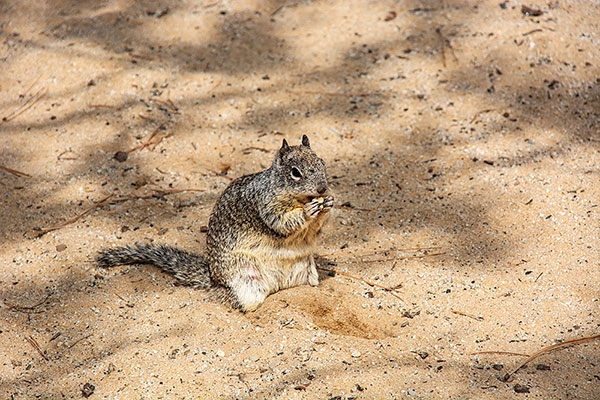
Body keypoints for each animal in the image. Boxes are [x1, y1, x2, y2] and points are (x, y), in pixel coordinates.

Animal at [96, 136, 336, 314]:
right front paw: (308, 212)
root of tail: (214, 279)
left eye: (322, 162)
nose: (323, 188)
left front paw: (329, 203)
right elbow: (283, 223)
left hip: (307, 273)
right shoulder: (265, 206)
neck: (299, 199)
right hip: (246, 279)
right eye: (295, 172)